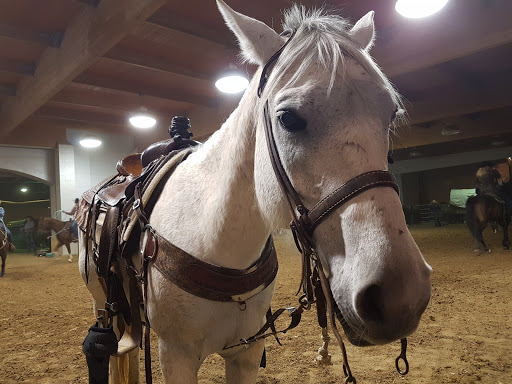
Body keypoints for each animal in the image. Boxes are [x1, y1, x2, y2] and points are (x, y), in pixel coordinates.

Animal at [80, 1, 432, 382]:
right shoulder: (176, 355)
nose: (400, 296)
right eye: (288, 118)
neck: (214, 236)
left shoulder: (247, 352)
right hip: (104, 307)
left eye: (391, 115)